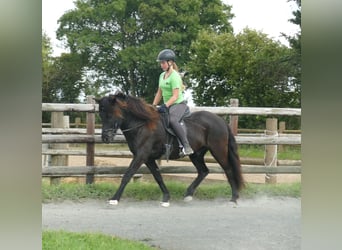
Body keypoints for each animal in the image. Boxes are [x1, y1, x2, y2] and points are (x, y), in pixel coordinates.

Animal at [94, 93, 243, 206]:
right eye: (101, 115)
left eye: (110, 114)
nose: (105, 138)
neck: (142, 125)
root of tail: (221, 120)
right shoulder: (148, 158)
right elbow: (158, 177)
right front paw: (166, 197)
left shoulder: (141, 155)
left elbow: (127, 175)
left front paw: (114, 199)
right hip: (196, 154)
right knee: (203, 171)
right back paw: (188, 194)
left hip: (218, 150)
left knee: (228, 170)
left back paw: (234, 198)